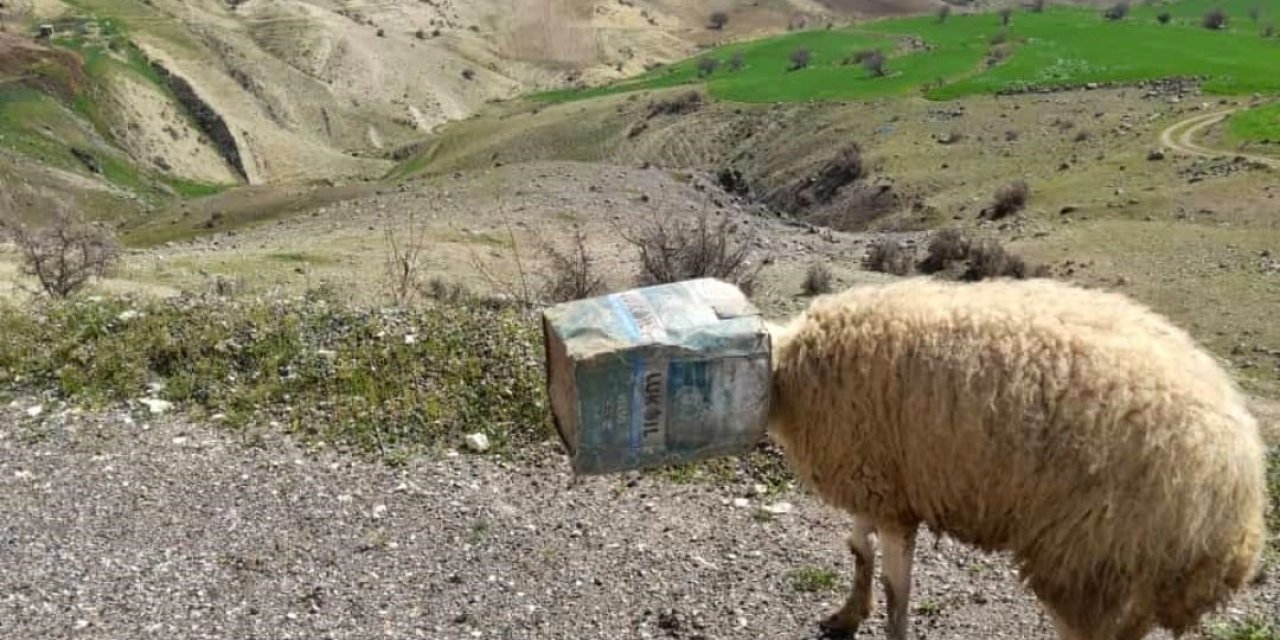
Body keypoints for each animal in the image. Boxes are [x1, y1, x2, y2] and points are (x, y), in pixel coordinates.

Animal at [762, 276, 1264, 640]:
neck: (785, 370)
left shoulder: (889, 498)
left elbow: (896, 591)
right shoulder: (878, 483)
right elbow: (858, 549)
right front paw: (847, 614)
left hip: (1088, 557)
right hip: (1128, 575)